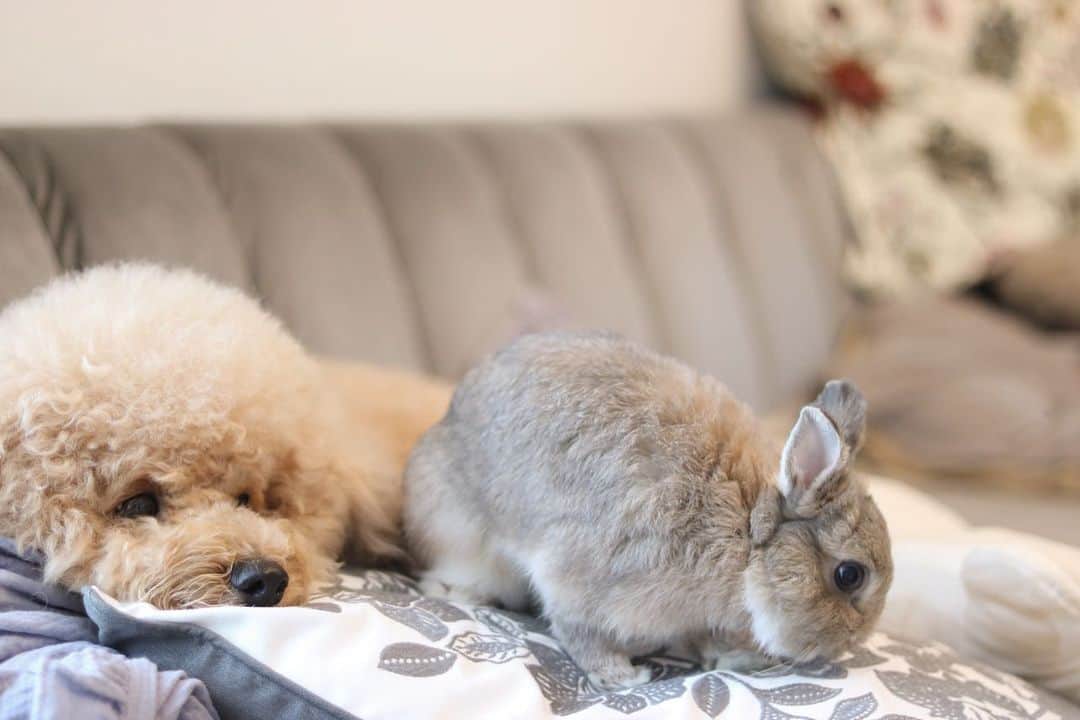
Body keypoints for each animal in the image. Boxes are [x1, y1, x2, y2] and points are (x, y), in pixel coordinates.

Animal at [404, 331, 893, 690]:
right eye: (849, 575)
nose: (850, 644)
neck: (746, 534)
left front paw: (728, 656)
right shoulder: (582, 576)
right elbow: (579, 631)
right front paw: (622, 677)